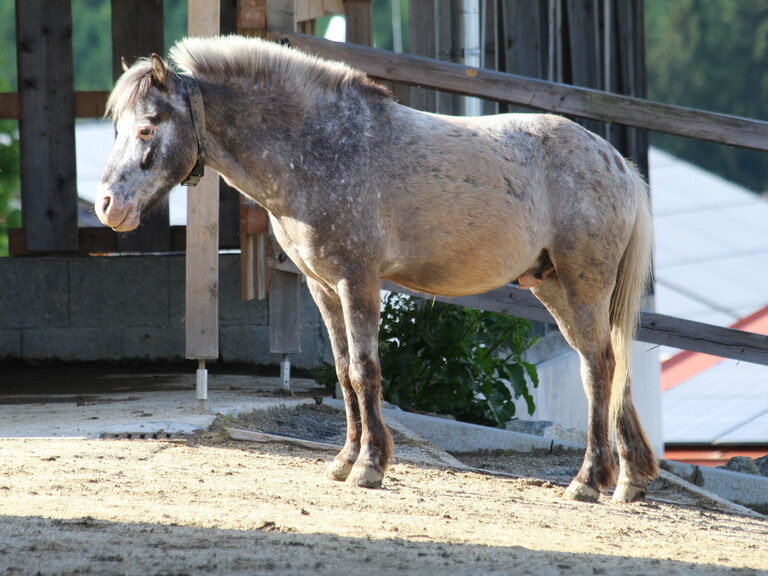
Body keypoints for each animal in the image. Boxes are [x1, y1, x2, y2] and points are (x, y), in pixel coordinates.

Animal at [96, 34, 658, 503]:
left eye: (146, 127)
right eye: (118, 127)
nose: (107, 207)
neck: (316, 149)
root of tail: (618, 163)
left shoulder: (357, 280)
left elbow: (365, 370)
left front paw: (370, 466)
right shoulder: (321, 287)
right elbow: (344, 372)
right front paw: (345, 460)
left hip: (582, 284)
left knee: (598, 368)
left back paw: (587, 481)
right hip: (556, 288)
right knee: (609, 364)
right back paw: (628, 480)